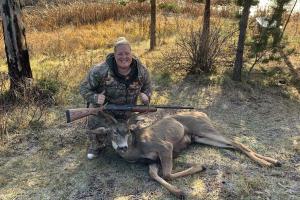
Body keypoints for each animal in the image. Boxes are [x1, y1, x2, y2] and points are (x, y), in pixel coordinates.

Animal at [92, 111, 282, 198]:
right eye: (112, 133)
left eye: (128, 131)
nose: (122, 147)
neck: (137, 148)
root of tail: (202, 113)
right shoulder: (151, 161)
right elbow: (154, 175)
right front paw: (178, 192)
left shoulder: (165, 147)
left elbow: (167, 174)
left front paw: (200, 167)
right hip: (201, 137)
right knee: (232, 145)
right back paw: (274, 161)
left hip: (205, 129)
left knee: (236, 142)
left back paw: (267, 163)